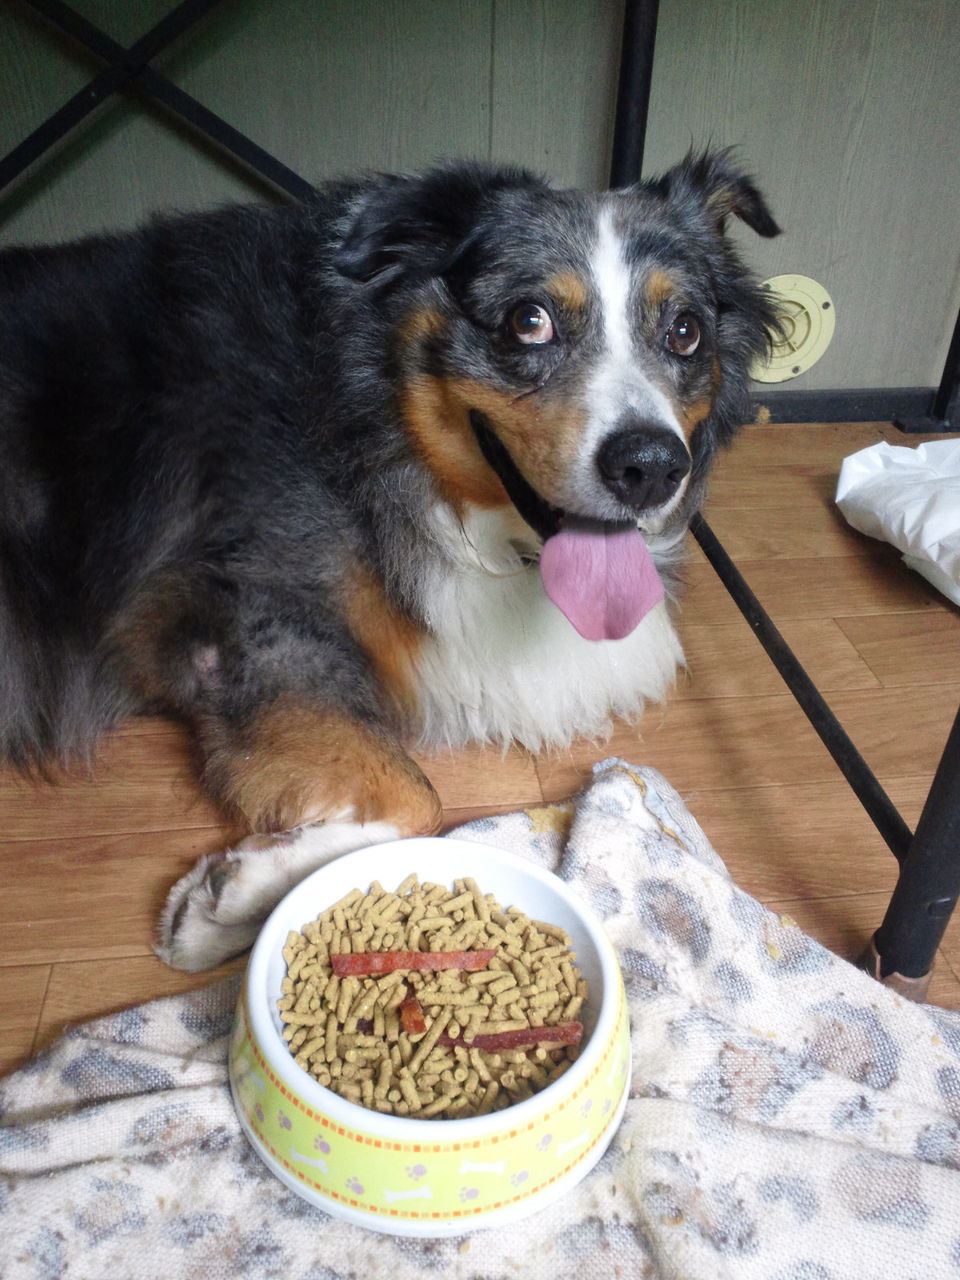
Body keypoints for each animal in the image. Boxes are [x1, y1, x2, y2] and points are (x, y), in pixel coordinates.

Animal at [0, 151, 780, 970]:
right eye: (528, 320)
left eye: (686, 331)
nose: (651, 467)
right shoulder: (252, 613)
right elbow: (418, 800)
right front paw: (232, 897)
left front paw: (229, 897)